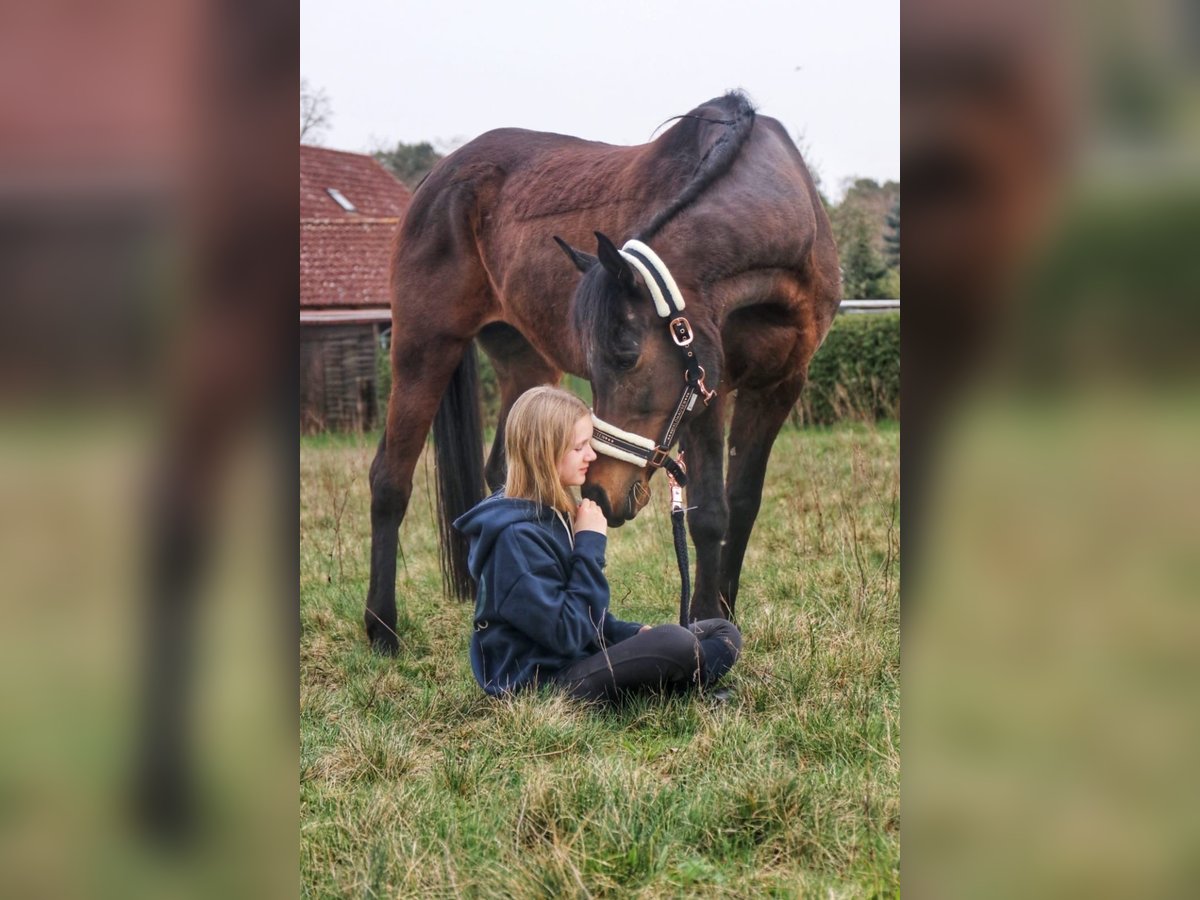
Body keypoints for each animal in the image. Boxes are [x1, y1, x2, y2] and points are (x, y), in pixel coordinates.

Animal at [366, 91, 840, 653]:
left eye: (626, 353)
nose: (598, 492)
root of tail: (435, 178)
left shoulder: (778, 386)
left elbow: (742, 505)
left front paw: (726, 615)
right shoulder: (710, 392)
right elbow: (709, 515)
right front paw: (707, 625)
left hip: (526, 363)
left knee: (505, 474)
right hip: (423, 348)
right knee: (390, 479)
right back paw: (381, 628)